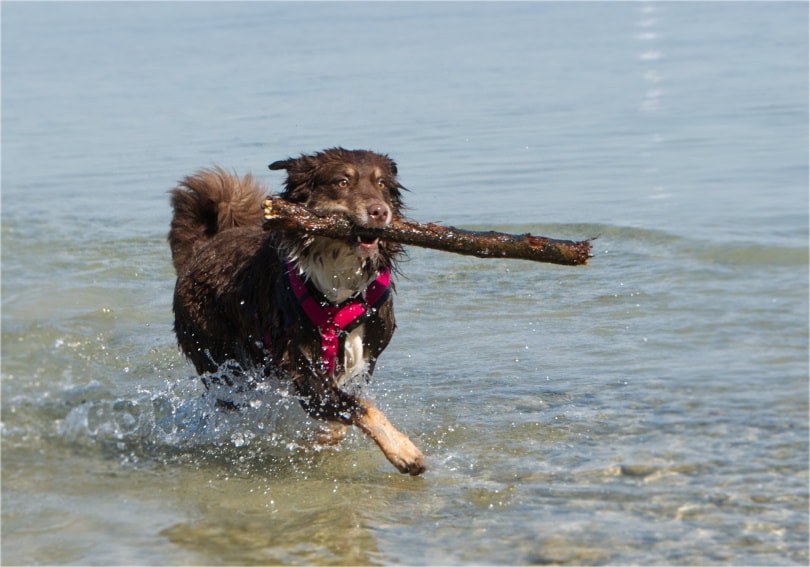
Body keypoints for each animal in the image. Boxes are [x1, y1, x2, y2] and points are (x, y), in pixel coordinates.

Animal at [168, 149, 426, 478]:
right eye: (342, 182)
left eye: (381, 184)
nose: (380, 212)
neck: (339, 284)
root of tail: (201, 249)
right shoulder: (301, 367)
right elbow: (361, 408)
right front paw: (403, 451)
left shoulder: (363, 361)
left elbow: (342, 415)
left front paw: (323, 437)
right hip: (223, 364)